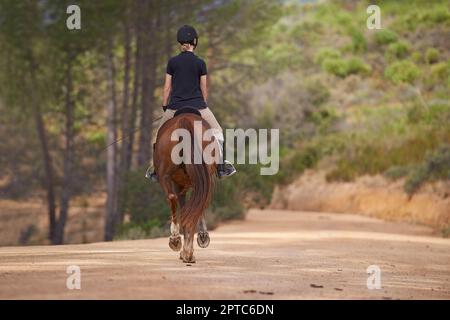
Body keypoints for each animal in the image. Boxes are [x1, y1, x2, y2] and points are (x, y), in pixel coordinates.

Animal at [154, 109, 217, 264]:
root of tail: (184, 120)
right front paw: (201, 237)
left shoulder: (179, 184)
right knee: (194, 205)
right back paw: (187, 251)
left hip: (166, 177)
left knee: (173, 198)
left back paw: (177, 242)